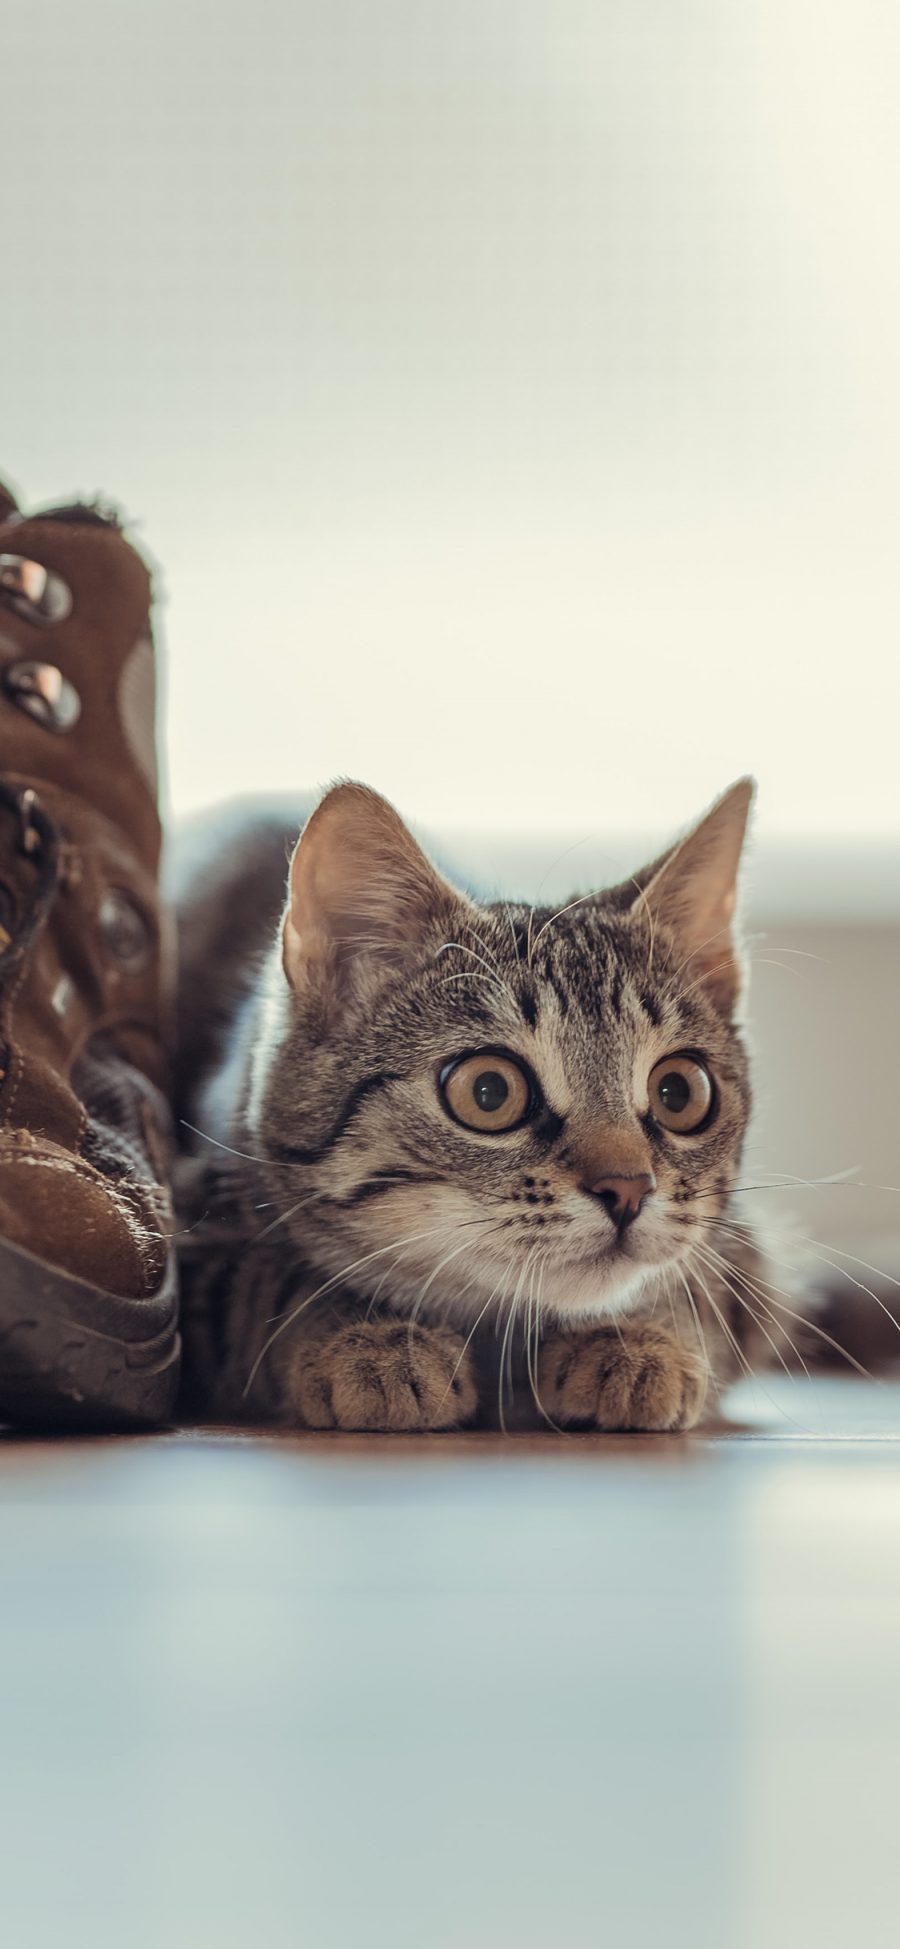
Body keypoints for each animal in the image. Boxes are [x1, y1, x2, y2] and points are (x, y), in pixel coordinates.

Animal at [172, 775, 798, 1434]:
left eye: (679, 1092)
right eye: (489, 1091)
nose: (629, 1188)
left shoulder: (747, 1262)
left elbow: (698, 1289)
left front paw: (637, 1342)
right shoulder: (195, 1241)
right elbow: (268, 1282)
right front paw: (372, 1340)